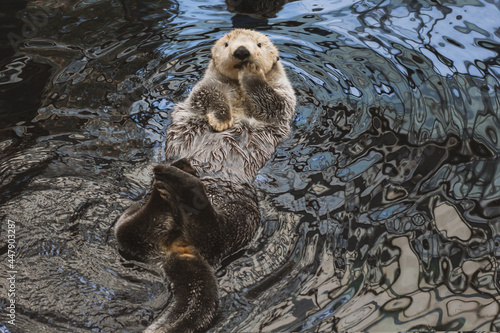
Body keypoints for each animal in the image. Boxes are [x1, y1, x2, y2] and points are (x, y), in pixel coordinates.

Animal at [116, 29, 296, 332]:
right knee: (127, 233)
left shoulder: (284, 98)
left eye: (259, 44)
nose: (242, 52)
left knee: (214, 232)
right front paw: (222, 117)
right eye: (227, 44)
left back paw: (180, 186)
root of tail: (179, 248)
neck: (237, 90)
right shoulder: (204, 87)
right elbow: (209, 95)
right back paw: (167, 185)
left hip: (242, 215)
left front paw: (252, 74)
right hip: (132, 213)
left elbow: (272, 102)